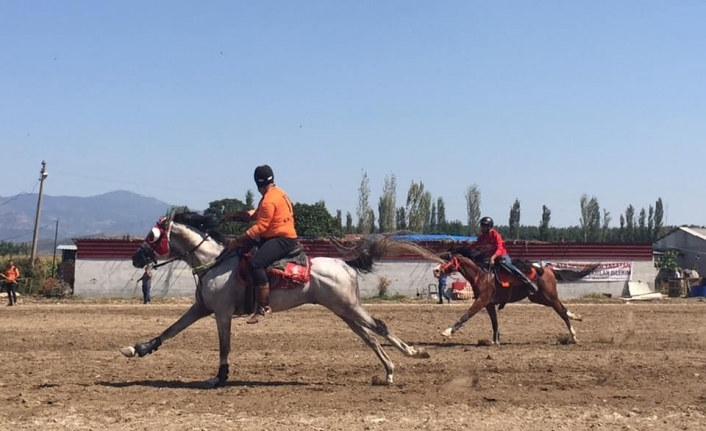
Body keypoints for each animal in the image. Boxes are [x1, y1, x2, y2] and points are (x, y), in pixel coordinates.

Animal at [120, 213, 440, 388]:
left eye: (152, 235)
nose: (136, 258)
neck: (215, 262)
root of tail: (345, 264)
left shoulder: (221, 313)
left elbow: (224, 346)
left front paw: (220, 378)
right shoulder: (201, 308)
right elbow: (170, 330)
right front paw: (138, 348)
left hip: (349, 308)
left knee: (381, 327)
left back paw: (415, 353)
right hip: (344, 311)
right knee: (370, 338)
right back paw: (388, 372)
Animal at [434, 248, 592, 346]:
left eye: (446, 260)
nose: (435, 270)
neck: (482, 275)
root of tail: (548, 269)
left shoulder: (482, 300)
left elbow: (466, 315)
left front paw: (448, 331)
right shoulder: (489, 304)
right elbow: (494, 322)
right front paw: (496, 340)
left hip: (549, 296)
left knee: (562, 313)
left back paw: (574, 336)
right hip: (539, 297)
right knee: (563, 309)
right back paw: (576, 317)